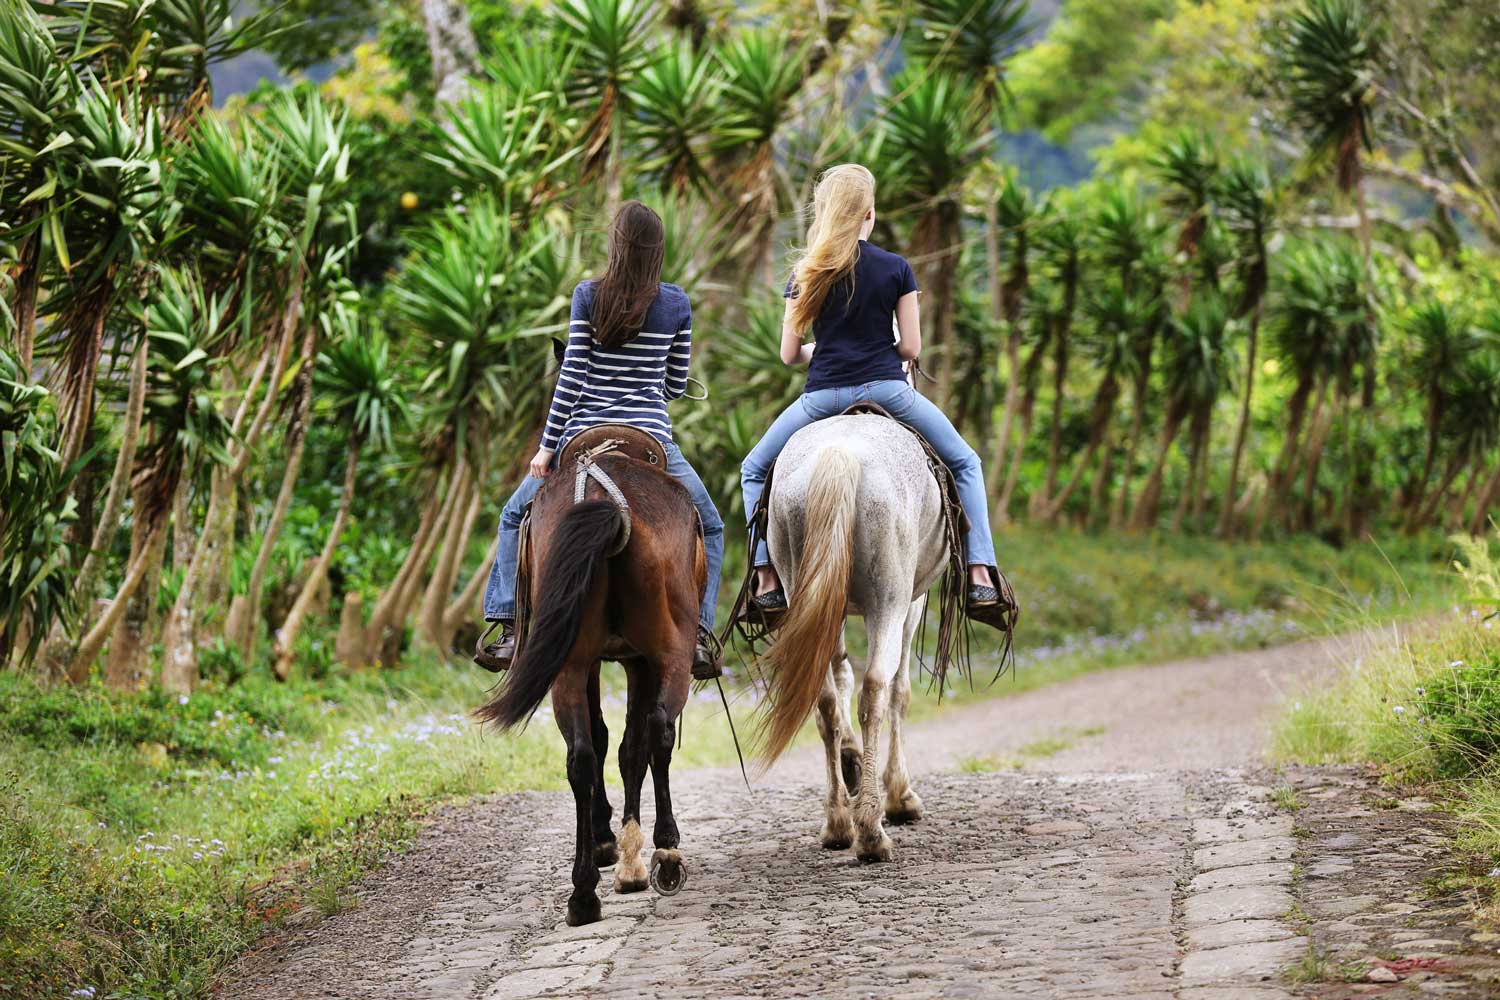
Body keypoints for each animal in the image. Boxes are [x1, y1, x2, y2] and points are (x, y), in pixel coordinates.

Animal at [474, 425, 702, 929]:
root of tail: (607, 496)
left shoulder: (613, 660)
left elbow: (610, 742)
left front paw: (613, 848)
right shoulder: (637, 661)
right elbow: (628, 747)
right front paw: (627, 856)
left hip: (573, 664)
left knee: (581, 754)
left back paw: (583, 894)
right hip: (666, 655)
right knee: (654, 733)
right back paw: (663, 855)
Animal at [750, 413, 948, 863]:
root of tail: (840, 454)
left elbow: (839, 681)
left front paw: (852, 761)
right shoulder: (912, 603)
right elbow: (899, 692)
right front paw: (900, 796)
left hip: (804, 588)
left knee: (823, 699)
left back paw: (838, 822)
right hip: (889, 602)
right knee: (875, 689)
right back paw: (872, 829)